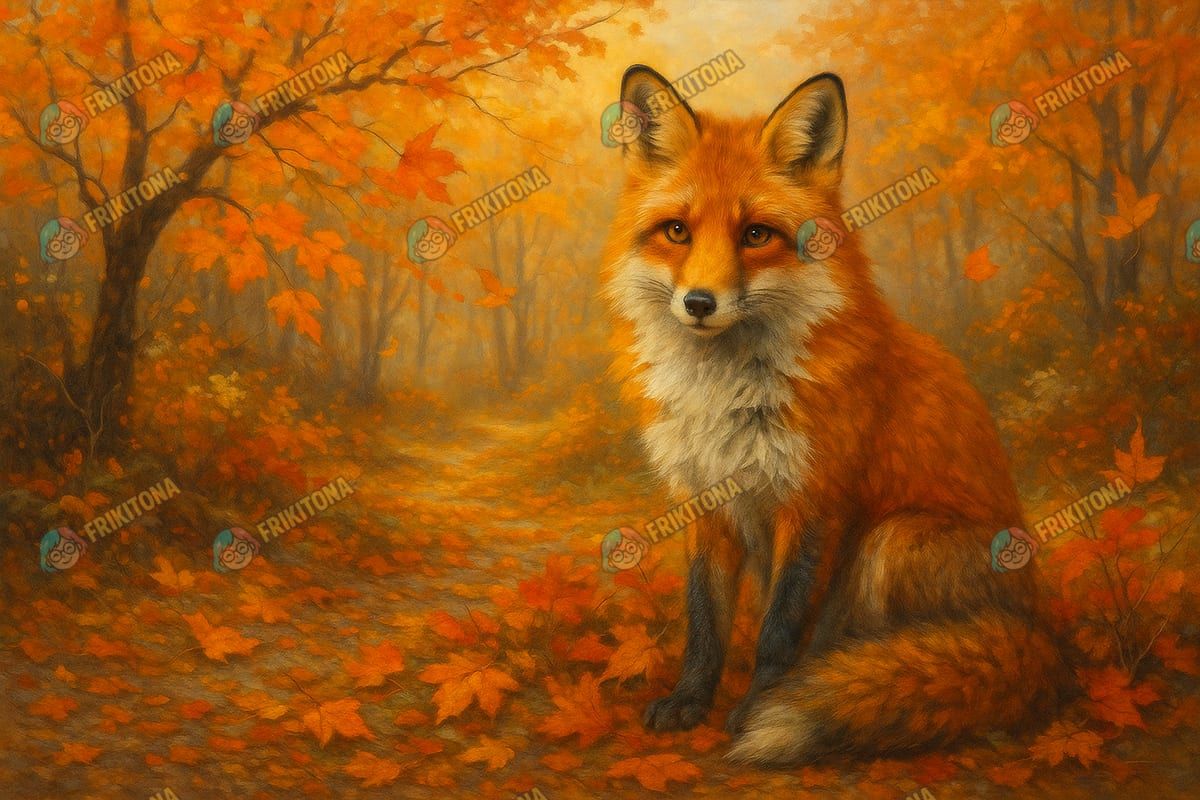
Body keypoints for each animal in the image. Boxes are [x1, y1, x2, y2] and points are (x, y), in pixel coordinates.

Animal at [601, 66, 1065, 766]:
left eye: (756, 235)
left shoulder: (814, 499)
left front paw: (759, 708)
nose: (699, 303)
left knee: (908, 648)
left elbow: (779, 626)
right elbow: (704, 621)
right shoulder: (708, 500)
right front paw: (689, 702)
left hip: (892, 540)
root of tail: (1037, 630)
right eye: (677, 231)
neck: (730, 396)